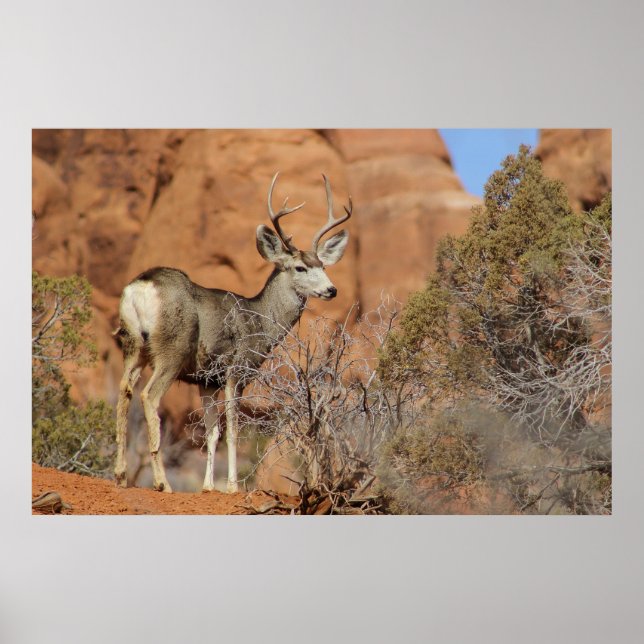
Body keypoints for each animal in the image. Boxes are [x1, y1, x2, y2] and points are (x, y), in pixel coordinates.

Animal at [113, 173, 352, 493]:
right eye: (300, 267)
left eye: (323, 265)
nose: (331, 289)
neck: (261, 323)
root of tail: (141, 287)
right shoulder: (237, 370)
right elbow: (233, 431)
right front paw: (232, 486)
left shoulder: (206, 379)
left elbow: (212, 432)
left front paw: (207, 487)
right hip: (173, 348)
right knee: (149, 397)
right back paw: (162, 483)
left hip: (133, 344)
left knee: (123, 391)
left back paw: (120, 475)